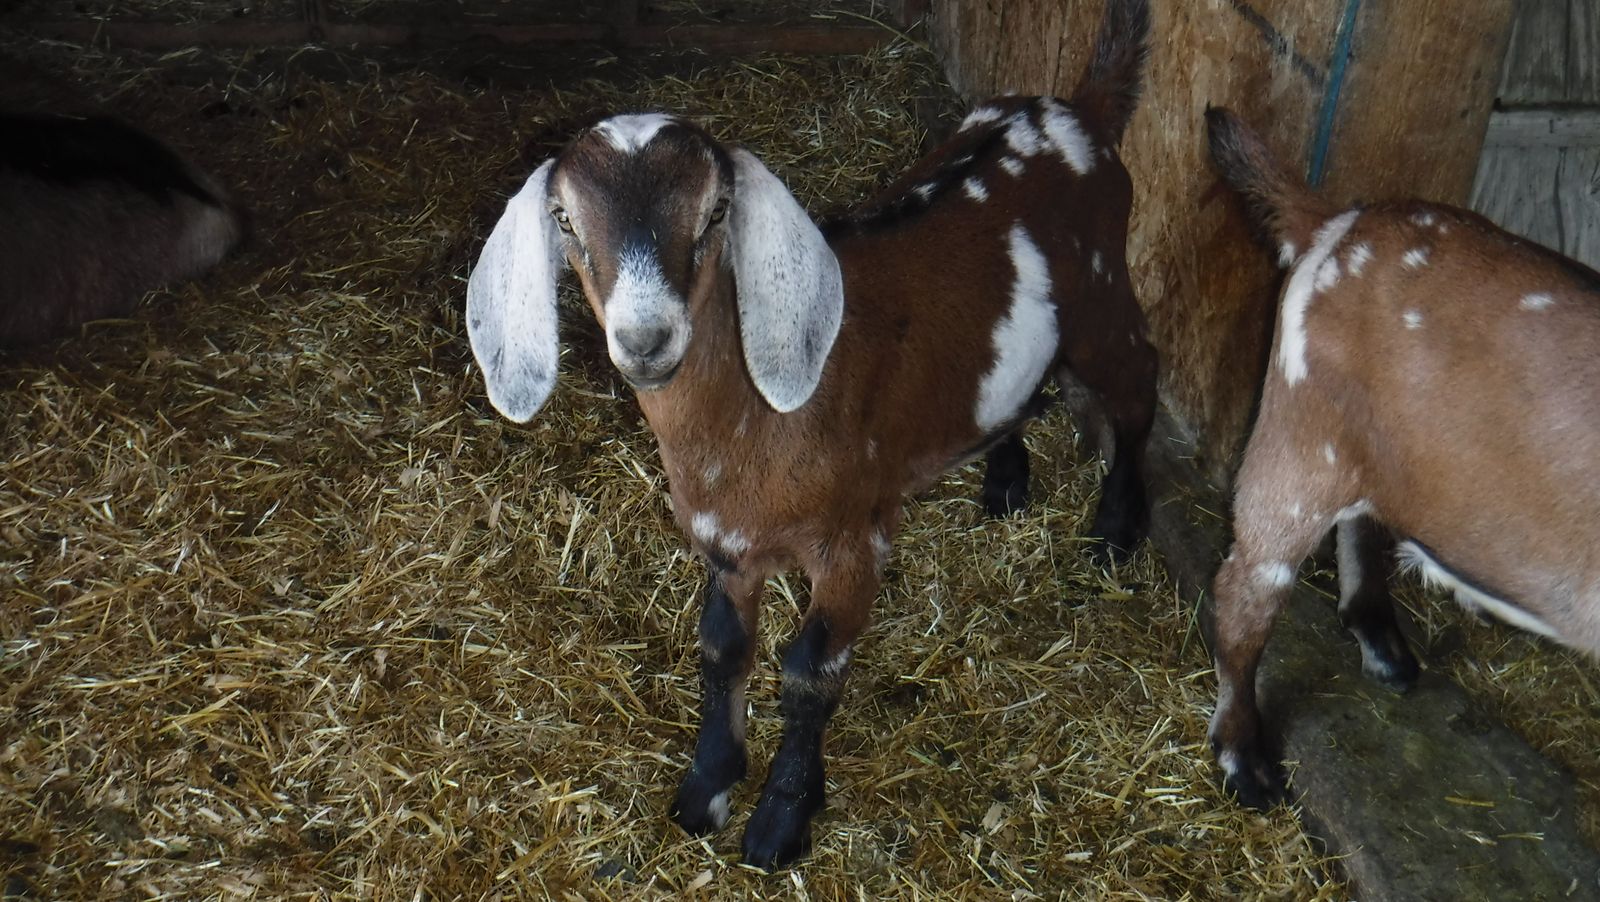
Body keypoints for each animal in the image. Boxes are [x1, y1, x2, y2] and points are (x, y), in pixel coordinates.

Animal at [465, 0, 1156, 868]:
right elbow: (723, 650)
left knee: (1137, 387)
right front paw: (707, 787)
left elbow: (808, 674)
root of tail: (1074, 111)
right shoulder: (726, 543)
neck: (750, 427)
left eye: (715, 212)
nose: (647, 339)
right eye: (563, 218)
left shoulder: (856, 538)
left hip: (1103, 299)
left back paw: (1116, 529)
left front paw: (780, 821)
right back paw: (1004, 482)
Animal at [1203, 107, 1600, 809]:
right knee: (1244, 589)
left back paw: (1383, 646)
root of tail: (1336, 223)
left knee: (1363, 517)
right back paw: (1245, 761)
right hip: (1301, 439)